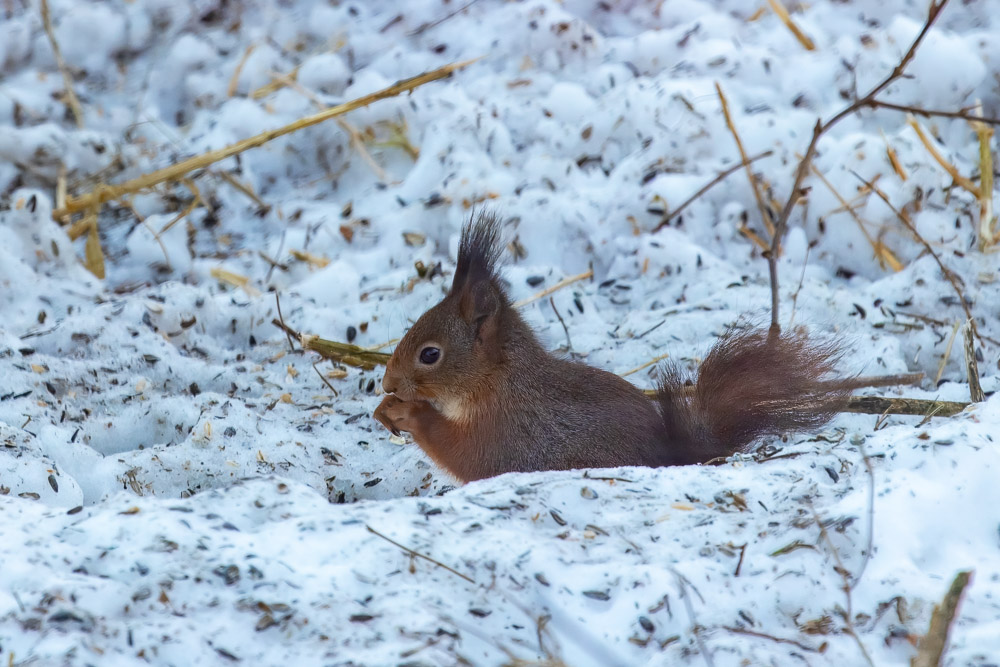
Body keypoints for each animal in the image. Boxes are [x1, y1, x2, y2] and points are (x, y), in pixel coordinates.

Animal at [376, 213, 852, 480]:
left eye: (430, 354)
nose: (386, 384)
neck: (498, 382)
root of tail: (669, 452)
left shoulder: (504, 432)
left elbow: (461, 454)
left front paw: (408, 412)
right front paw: (386, 408)